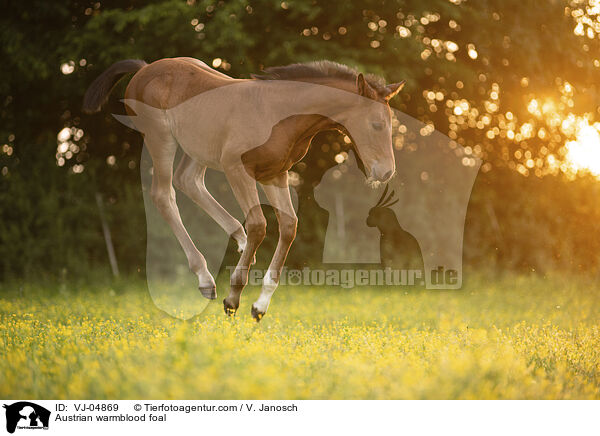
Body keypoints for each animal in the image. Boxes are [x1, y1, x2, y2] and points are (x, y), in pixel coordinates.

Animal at [82, 57, 406, 320]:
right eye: (377, 125)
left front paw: (260, 305)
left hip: (199, 147)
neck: (280, 113)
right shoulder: (237, 168)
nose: (386, 171)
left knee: (188, 180)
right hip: (160, 137)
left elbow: (289, 226)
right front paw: (233, 298)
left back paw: (237, 239)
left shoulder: (275, 174)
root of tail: (145, 68)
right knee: (163, 195)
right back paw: (206, 278)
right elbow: (260, 225)